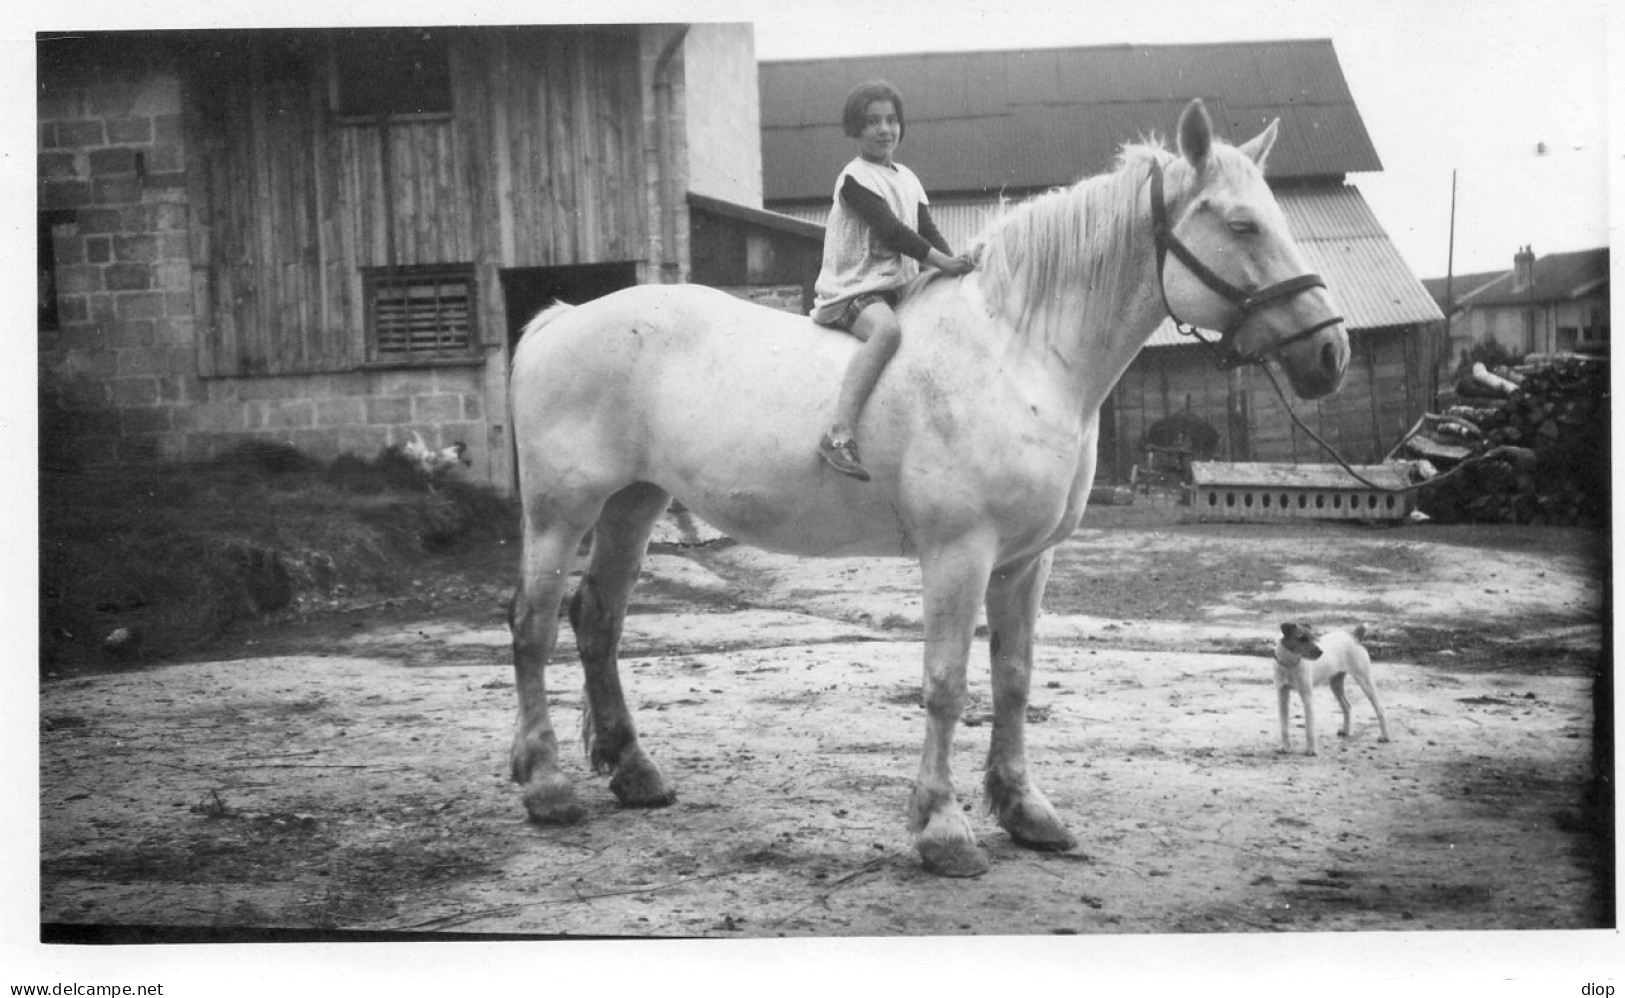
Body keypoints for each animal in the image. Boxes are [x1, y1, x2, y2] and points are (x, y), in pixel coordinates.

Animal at [507, 99, 1345, 877]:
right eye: (1241, 225)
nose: (1329, 354)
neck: (1017, 352)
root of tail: (559, 319)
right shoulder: (958, 555)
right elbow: (945, 684)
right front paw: (942, 830)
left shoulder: (1025, 561)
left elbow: (1012, 679)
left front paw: (1024, 809)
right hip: (560, 514)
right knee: (534, 628)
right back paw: (546, 787)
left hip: (634, 504)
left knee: (599, 622)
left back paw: (634, 773)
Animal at [1274, 620, 1391, 754]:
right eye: (1302, 638)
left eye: (1313, 637)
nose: (1320, 652)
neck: (1289, 664)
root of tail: (1354, 637)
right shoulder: (1282, 697)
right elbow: (1284, 727)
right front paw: (1285, 747)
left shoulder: (1307, 697)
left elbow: (1309, 728)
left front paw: (1311, 750)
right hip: (1336, 685)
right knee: (1347, 707)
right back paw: (1345, 730)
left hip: (1365, 681)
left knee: (1380, 710)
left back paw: (1385, 736)